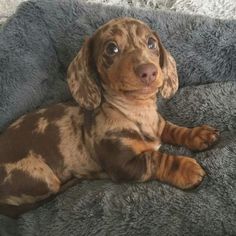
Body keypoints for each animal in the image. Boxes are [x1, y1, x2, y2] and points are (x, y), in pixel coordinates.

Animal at [0, 17, 219, 218]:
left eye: (151, 43)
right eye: (111, 48)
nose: (148, 71)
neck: (135, 112)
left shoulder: (159, 125)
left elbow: (175, 130)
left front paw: (199, 135)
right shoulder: (124, 165)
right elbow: (155, 158)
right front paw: (186, 168)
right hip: (43, 177)